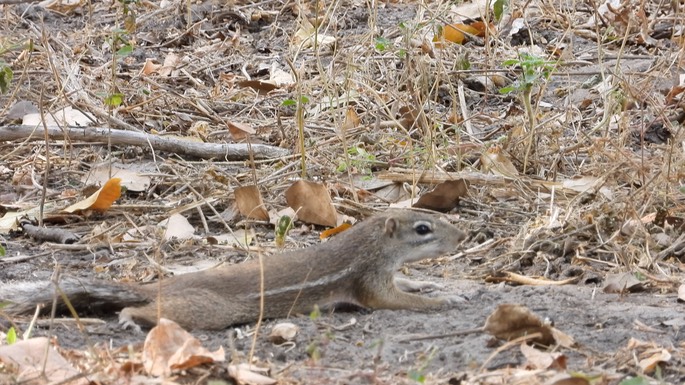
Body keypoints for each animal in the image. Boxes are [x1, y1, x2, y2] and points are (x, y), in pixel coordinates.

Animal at [0, 210, 464, 330]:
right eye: (423, 229)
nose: (461, 238)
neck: (372, 241)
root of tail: (154, 288)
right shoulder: (369, 279)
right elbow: (391, 300)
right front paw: (441, 300)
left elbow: (407, 282)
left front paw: (442, 286)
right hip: (208, 311)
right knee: (148, 312)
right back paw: (131, 317)